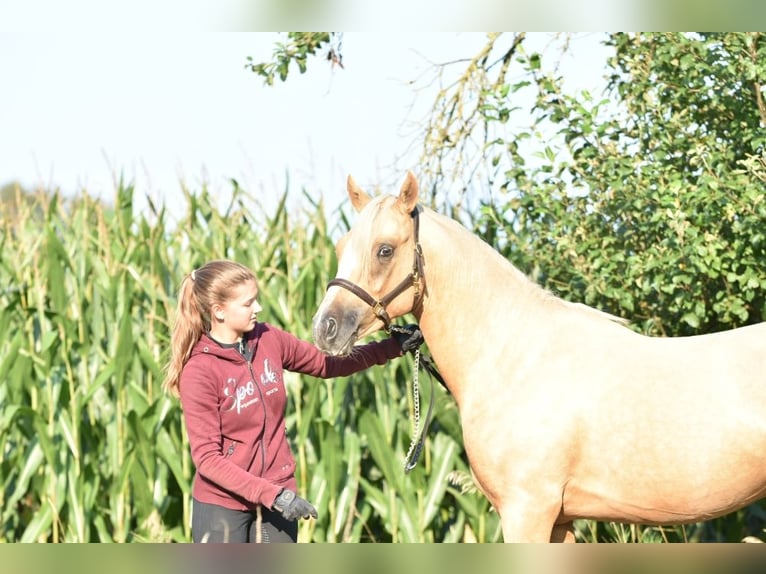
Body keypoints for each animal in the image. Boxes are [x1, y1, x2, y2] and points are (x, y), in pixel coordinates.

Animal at [310, 171, 766, 544]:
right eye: (341, 245)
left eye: (385, 250)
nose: (325, 328)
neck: (513, 356)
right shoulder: (560, 519)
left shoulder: (527, 511)